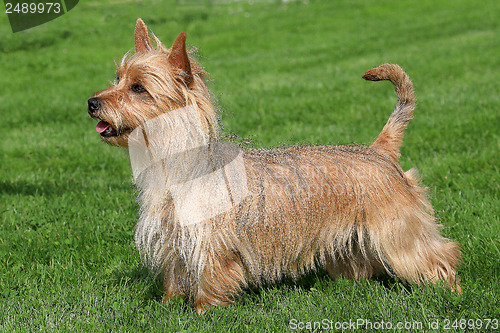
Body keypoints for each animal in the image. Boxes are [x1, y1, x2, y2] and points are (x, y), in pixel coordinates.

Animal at [87, 19, 460, 312]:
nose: (91, 102)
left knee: (439, 254)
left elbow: (209, 277)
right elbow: (176, 277)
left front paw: (203, 311)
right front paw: (168, 305)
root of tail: (379, 149)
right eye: (117, 78)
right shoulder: (174, 240)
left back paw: (450, 291)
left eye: (138, 88)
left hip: (399, 230)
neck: (175, 164)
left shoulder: (210, 243)